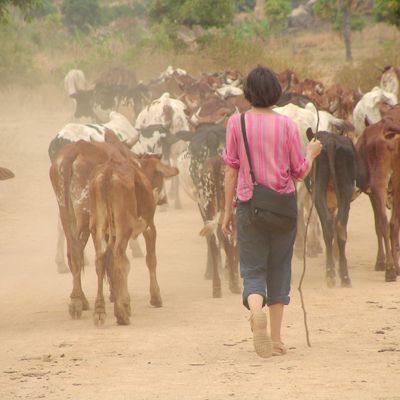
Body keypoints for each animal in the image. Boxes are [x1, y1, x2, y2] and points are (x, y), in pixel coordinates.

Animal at [90, 153, 178, 324]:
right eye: (161, 176)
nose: (163, 199)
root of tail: (108, 172)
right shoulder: (149, 227)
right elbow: (151, 260)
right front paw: (155, 297)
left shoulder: (112, 234)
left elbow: (123, 264)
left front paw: (126, 302)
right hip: (124, 227)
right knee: (117, 257)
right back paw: (120, 315)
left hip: (97, 226)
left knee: (101, 259)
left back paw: (100, 310)